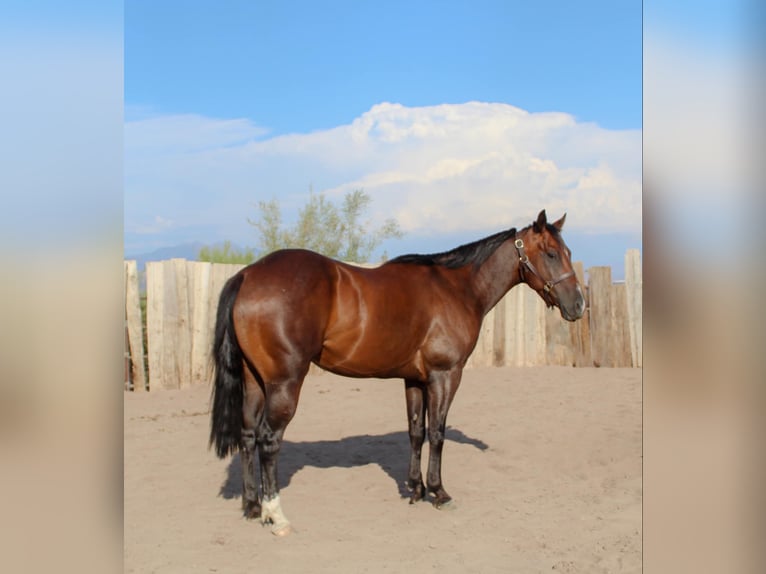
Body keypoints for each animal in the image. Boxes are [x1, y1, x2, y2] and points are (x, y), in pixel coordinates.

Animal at [207, 209, 584, 536]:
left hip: (254, 381)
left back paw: (253, 506)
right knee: (269, 440)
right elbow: (437, 433)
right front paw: (439, 492)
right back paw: (276, 516)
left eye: (567, 252)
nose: (578, 304)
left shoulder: (414, 379)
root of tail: (248, 274)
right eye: (551, 253)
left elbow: (416, 432)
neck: (457, 287)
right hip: (284, 383)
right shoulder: (445, 375)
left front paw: (415, 489)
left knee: (247, 435)